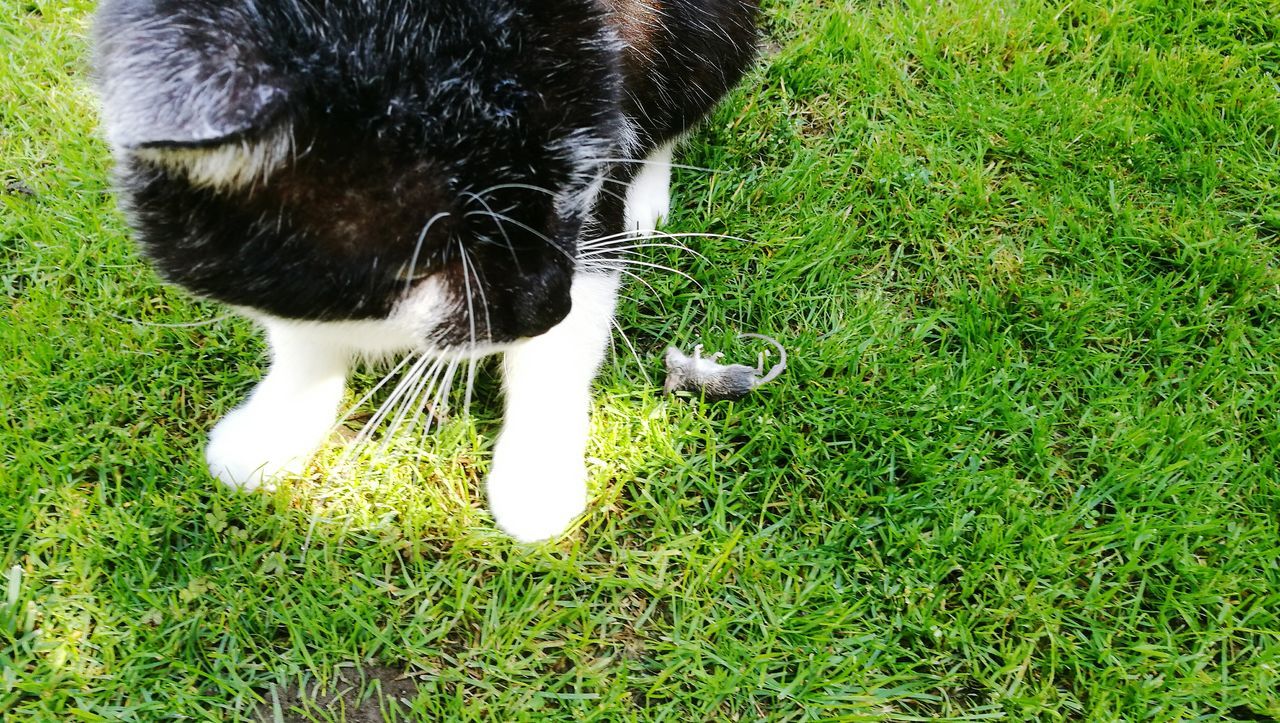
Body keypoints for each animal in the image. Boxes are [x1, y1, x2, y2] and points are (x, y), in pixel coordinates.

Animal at [97, 1, 757, 542]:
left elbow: (564, 336)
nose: (549, 308)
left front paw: (536, 476)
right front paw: (273, 429)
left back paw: (648, 195)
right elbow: (299, 328)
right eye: (433, 257)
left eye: (571, 189)